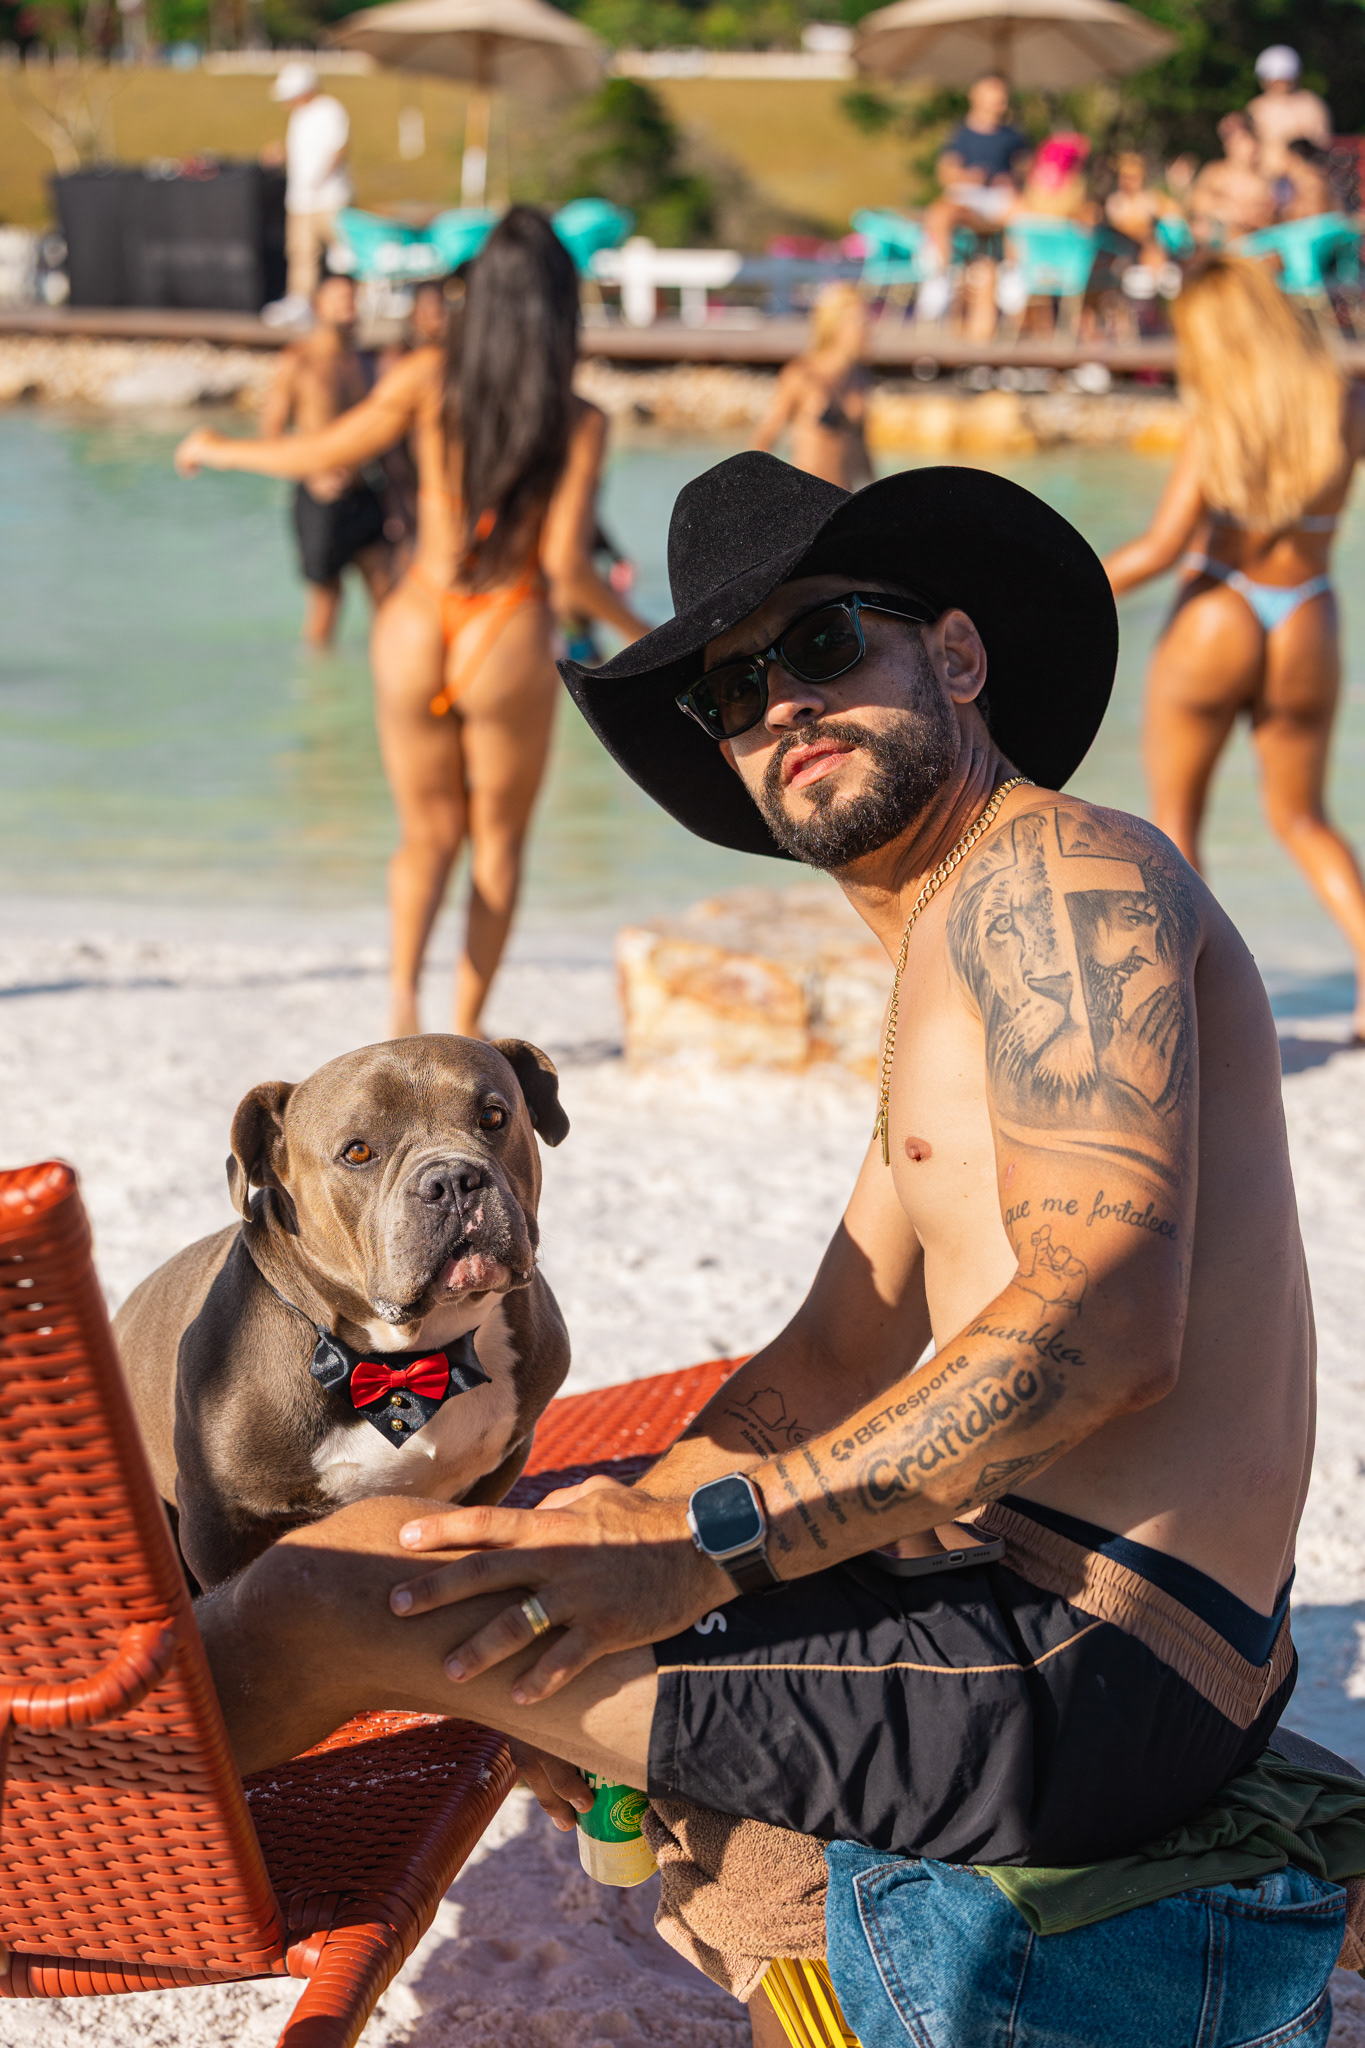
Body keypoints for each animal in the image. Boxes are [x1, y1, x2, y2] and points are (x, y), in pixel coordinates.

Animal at [116, 1034, 571, 1589]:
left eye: (492, 1116)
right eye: (357, 1152)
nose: (452, 1179)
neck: (411, 1354)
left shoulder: (503, 1460)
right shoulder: (216, 1522)